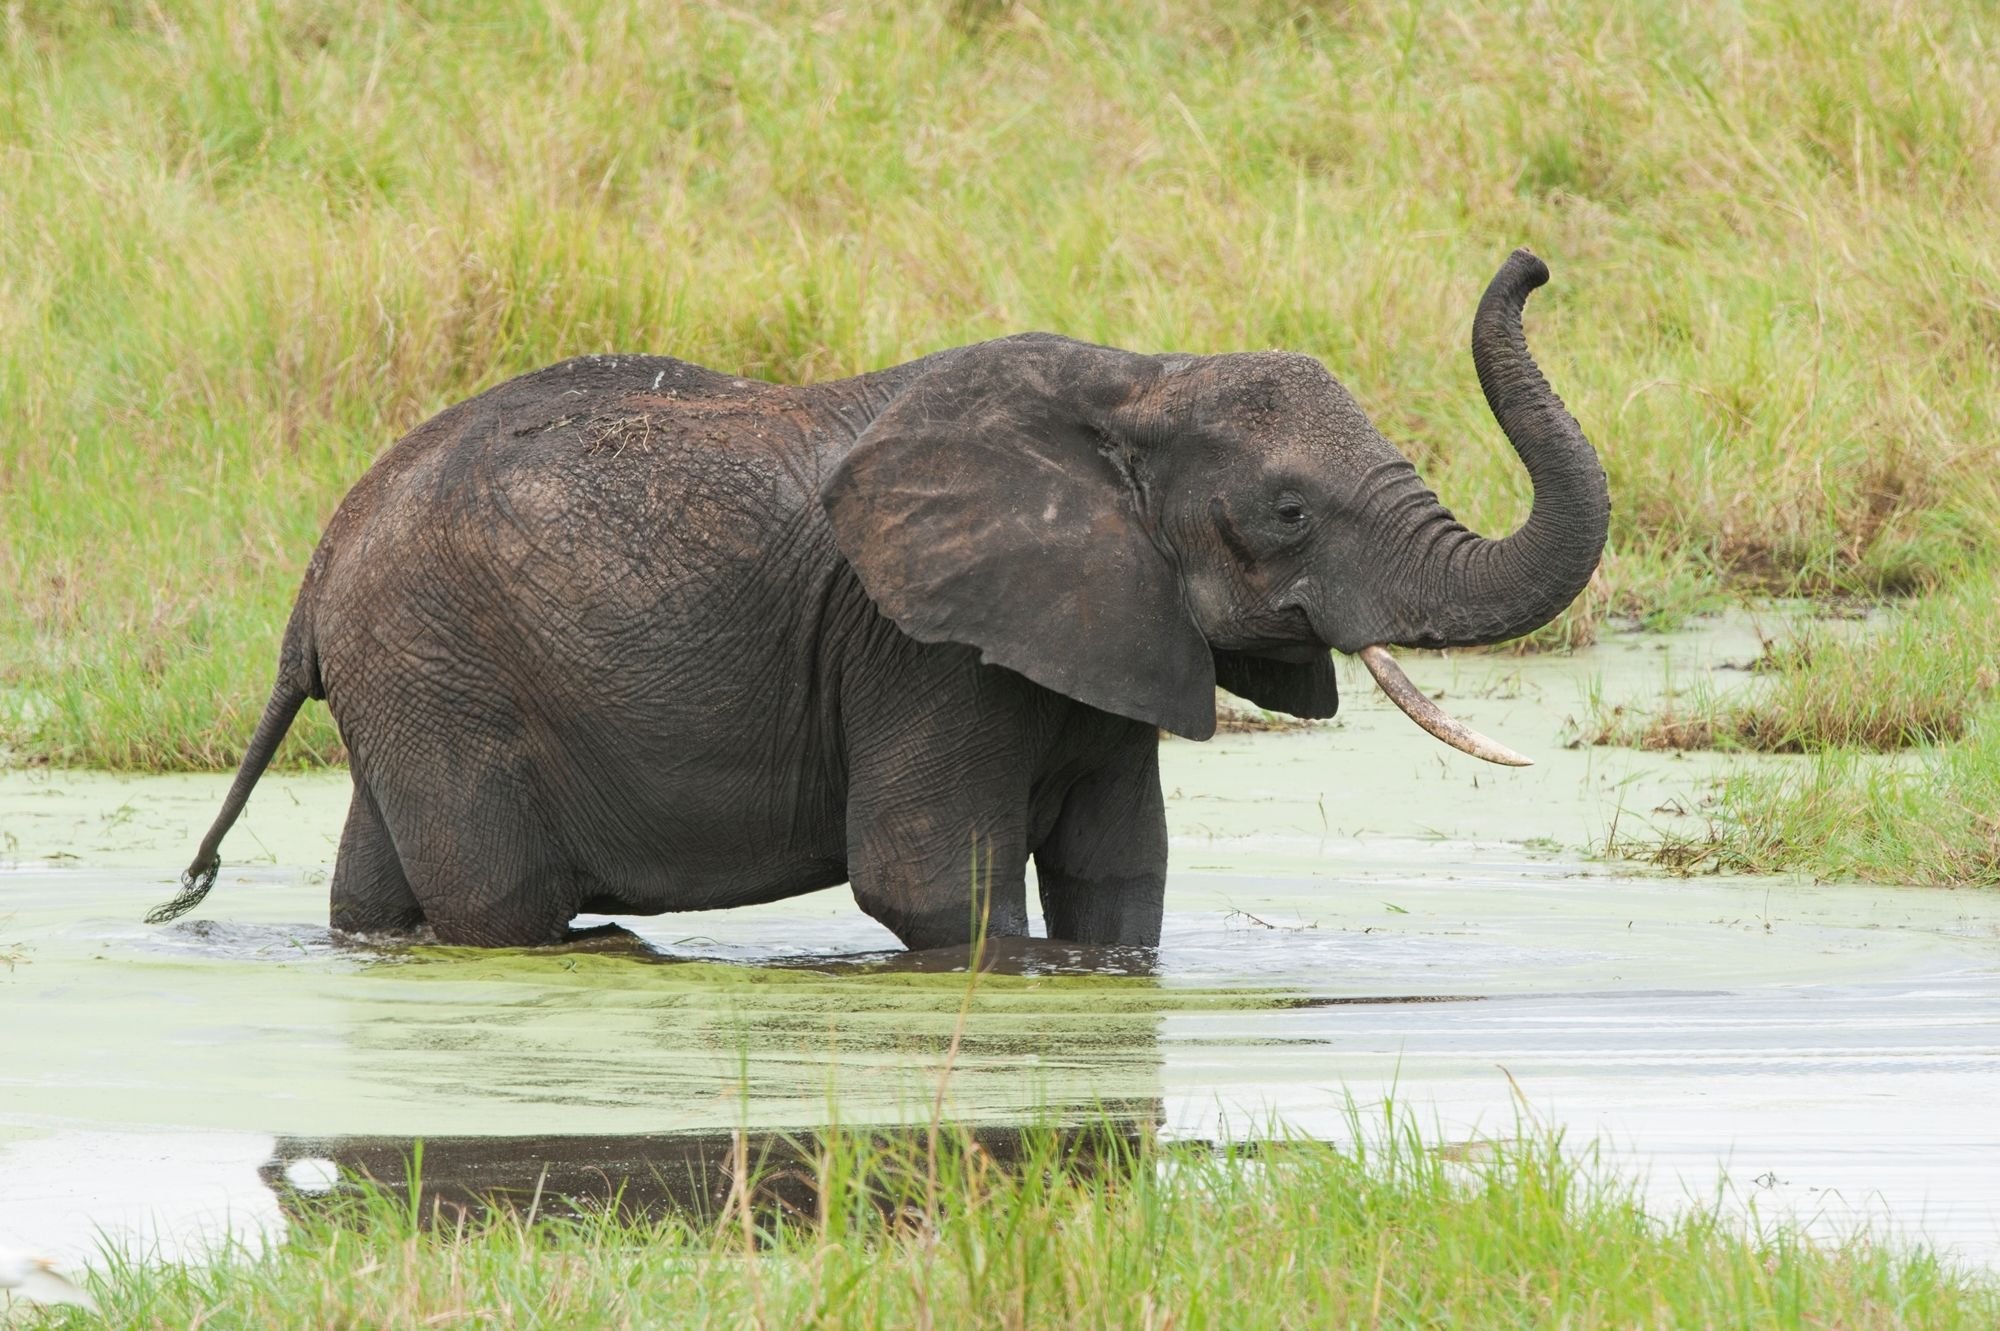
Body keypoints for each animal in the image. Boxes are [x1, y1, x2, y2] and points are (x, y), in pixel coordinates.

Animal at [149, 249, 1608, 951]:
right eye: (1289, 512)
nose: (1532, 264)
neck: (1138, 378)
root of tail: (318, 567)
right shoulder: (918, 644)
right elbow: (932, 881)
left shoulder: (1102, 620)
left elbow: (1118, 873)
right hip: (440, 670)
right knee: (501, 908)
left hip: (409, 679)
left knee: (376, 895)